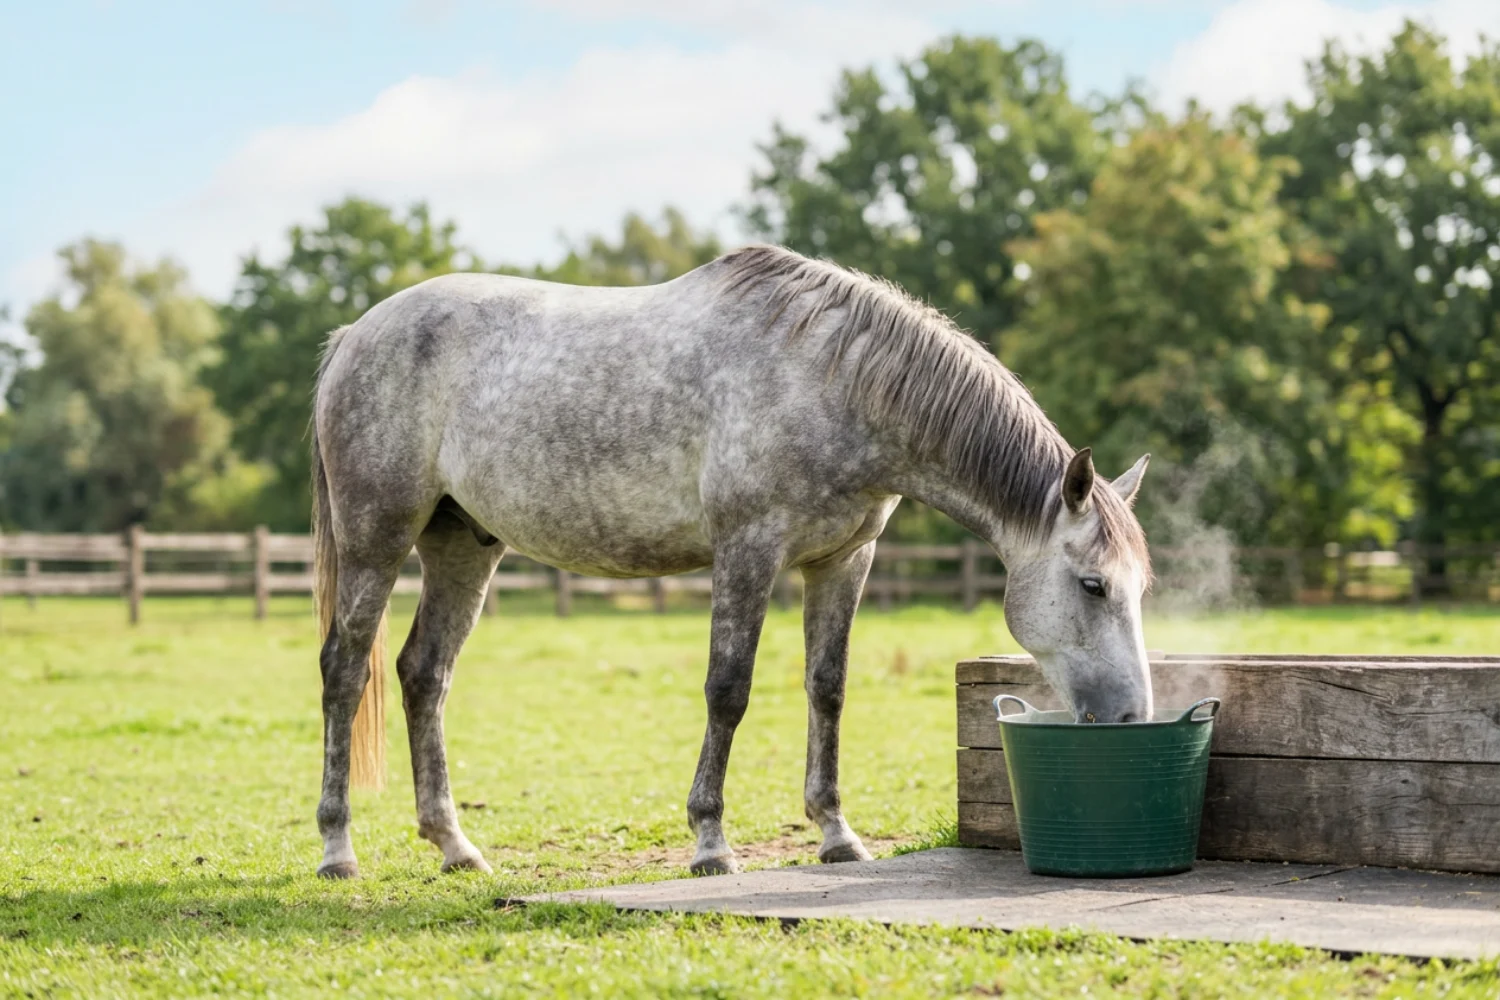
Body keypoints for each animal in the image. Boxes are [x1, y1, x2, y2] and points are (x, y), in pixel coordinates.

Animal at [309, 244, 1152, 879]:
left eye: (1140, 587)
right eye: (1091, 585)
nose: (1131, 719)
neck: (832, 379)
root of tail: (355, 332)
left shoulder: (844, 559)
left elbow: (827, 689)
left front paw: (836, 834)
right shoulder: (748, 549)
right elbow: (729, 689)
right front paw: (711, 842)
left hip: (462, 545)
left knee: (424, 674)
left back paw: (454, 846)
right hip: (376, 539)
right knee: (345, 671)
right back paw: (337, 849)